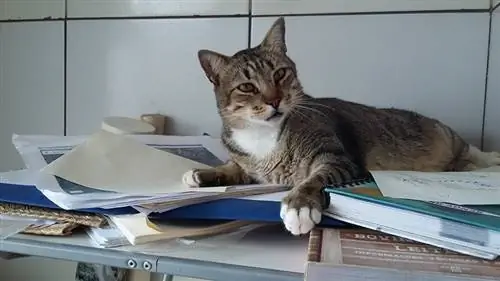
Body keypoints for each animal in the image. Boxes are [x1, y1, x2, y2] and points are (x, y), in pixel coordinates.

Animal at [182, 17, 500, 234]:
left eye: (280, 74)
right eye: (247, 87)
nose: (274, 100)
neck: (263, 135)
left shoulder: (336, 158)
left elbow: (313, 178)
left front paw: (299, 206)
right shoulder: (249, 165)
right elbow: (233, 168)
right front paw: (202, 173)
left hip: (451, 142)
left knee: (471, 154)